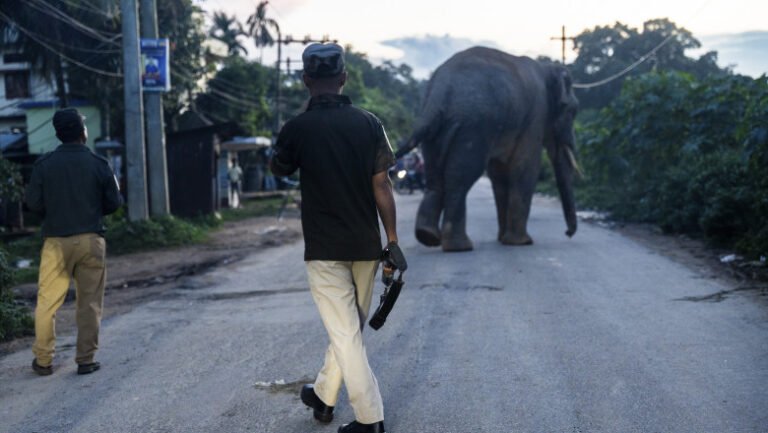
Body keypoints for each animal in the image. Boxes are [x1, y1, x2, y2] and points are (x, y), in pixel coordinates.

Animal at [398, 46, 579, 252]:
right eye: (572, 111)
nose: (568, 233)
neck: (547, 69)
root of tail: (439, 92)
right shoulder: (535, 116)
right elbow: (525, 168)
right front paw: (522, 242)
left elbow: (499, 173)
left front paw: (503, 240)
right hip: (474, 126)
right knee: (461, 177)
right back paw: (460, 247)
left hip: (437, 131)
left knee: (435, 176)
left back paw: (428, 236)